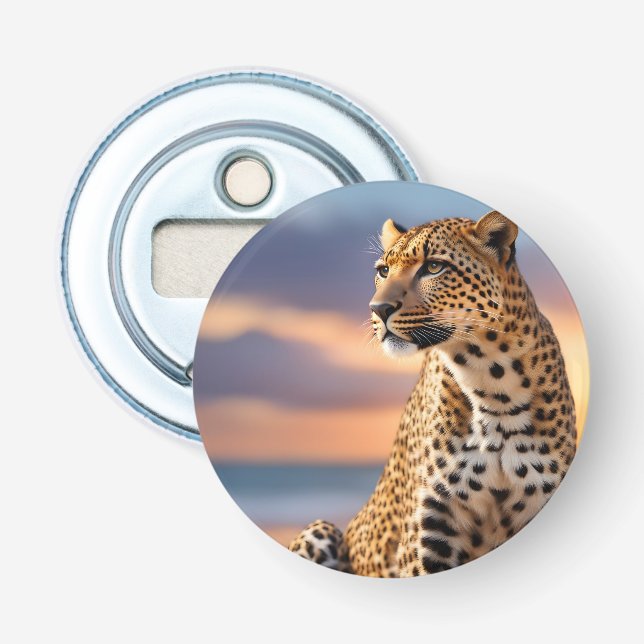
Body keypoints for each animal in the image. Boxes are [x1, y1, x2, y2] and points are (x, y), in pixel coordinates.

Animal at [289, 210, 577, 576]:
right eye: (383, 271)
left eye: (434, 267)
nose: (378, 308)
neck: (494, 387)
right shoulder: (428, 534)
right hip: (320, 528)